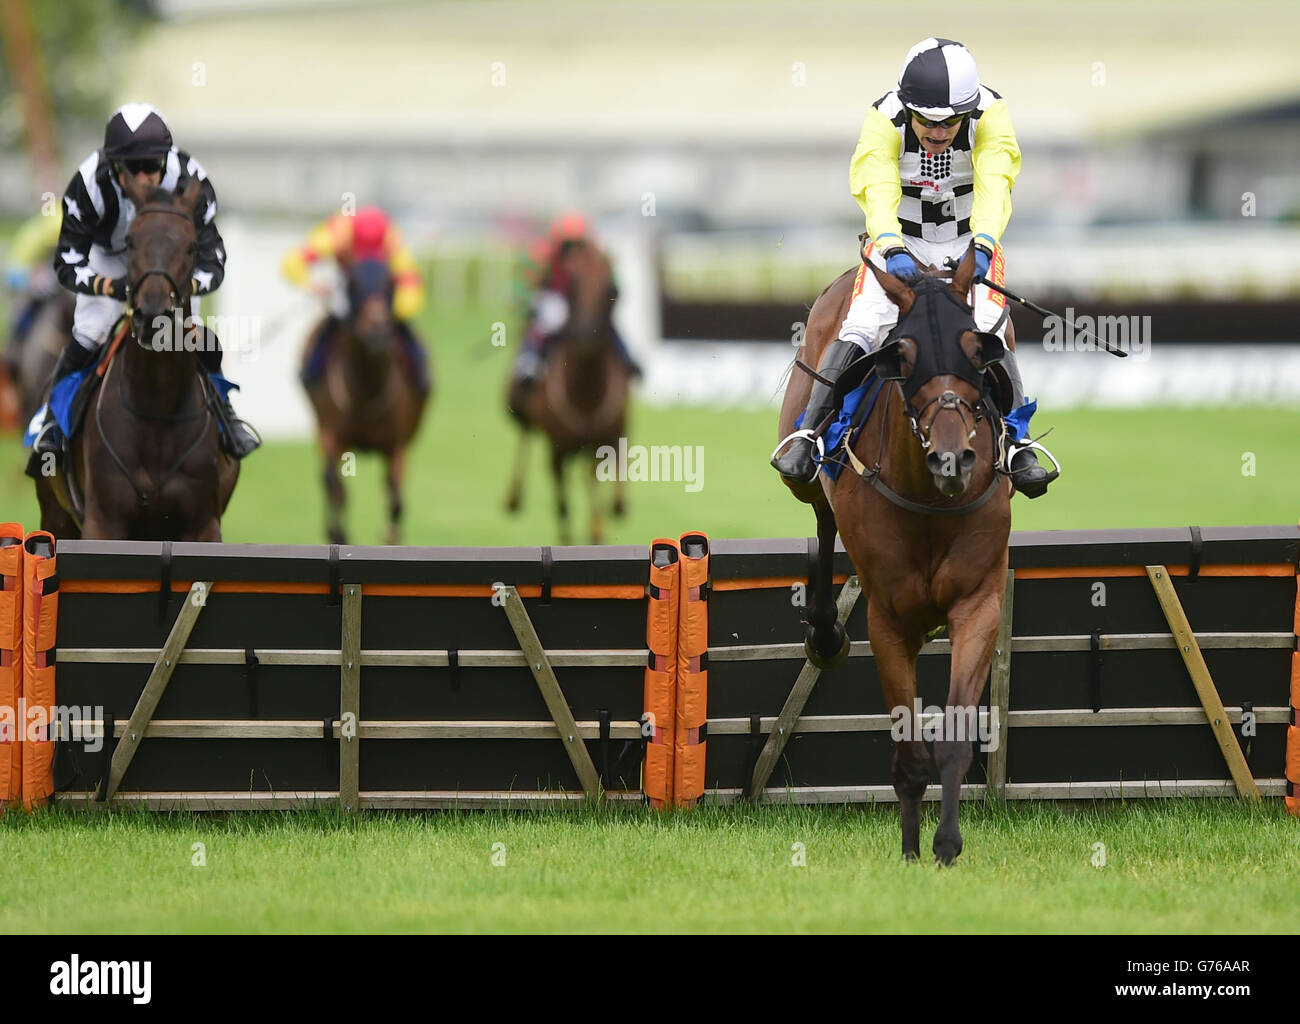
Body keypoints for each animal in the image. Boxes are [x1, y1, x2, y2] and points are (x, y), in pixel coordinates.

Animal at [302, 258, 427, 545]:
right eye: (352, 284)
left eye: (391, 284)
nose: (378, 327)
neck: (366, 391)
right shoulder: (332, 436)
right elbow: (337, 489)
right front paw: (339, 534)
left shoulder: (397, 446)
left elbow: (396, 499)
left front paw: (390, 537)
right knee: (327, 480)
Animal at [504, 238, 629, 545]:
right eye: (574, 285)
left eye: (612, 290)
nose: (586, 334)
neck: (585, 395)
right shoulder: (557, 452)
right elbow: (563, 505)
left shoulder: (604, 441)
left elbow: (598, 486)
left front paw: (598, 529)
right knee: (525, 438)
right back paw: (513, 496)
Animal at [776, 245, 1014, 865]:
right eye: (902, 356)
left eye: (977, 350)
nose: (951, 459)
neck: (930, 501)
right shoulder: (887, 618)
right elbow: (907, 751)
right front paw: (910, 851)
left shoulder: (978, 606)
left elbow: (953, 738)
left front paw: (946, 845)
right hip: (802, 467)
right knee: (821, 512)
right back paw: (823, 632)